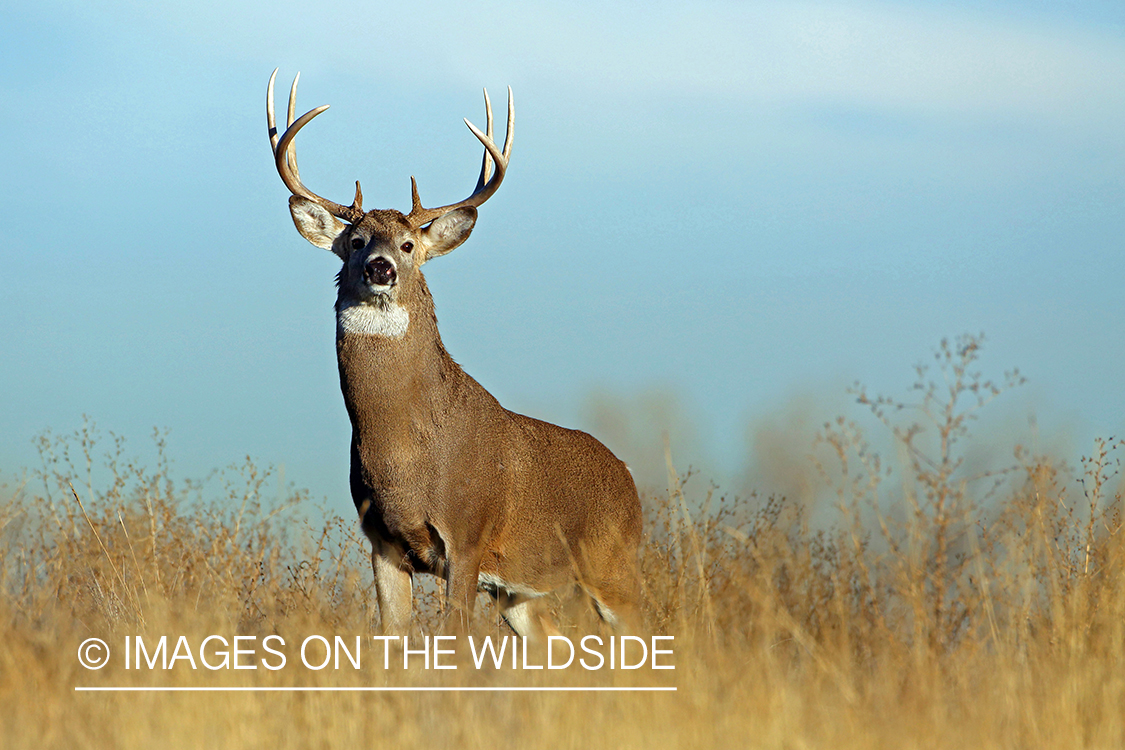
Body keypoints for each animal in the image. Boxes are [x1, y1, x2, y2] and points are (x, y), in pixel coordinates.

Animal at [262, 70, 643, 638]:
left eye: (408, 246)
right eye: (355, 241)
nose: (380, 268)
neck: (404, 455)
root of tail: (631, 483)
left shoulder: (466, 537)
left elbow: (455, 639)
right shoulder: (382, 542)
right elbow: (393, 636)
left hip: (613, 567)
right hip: (518, 591)